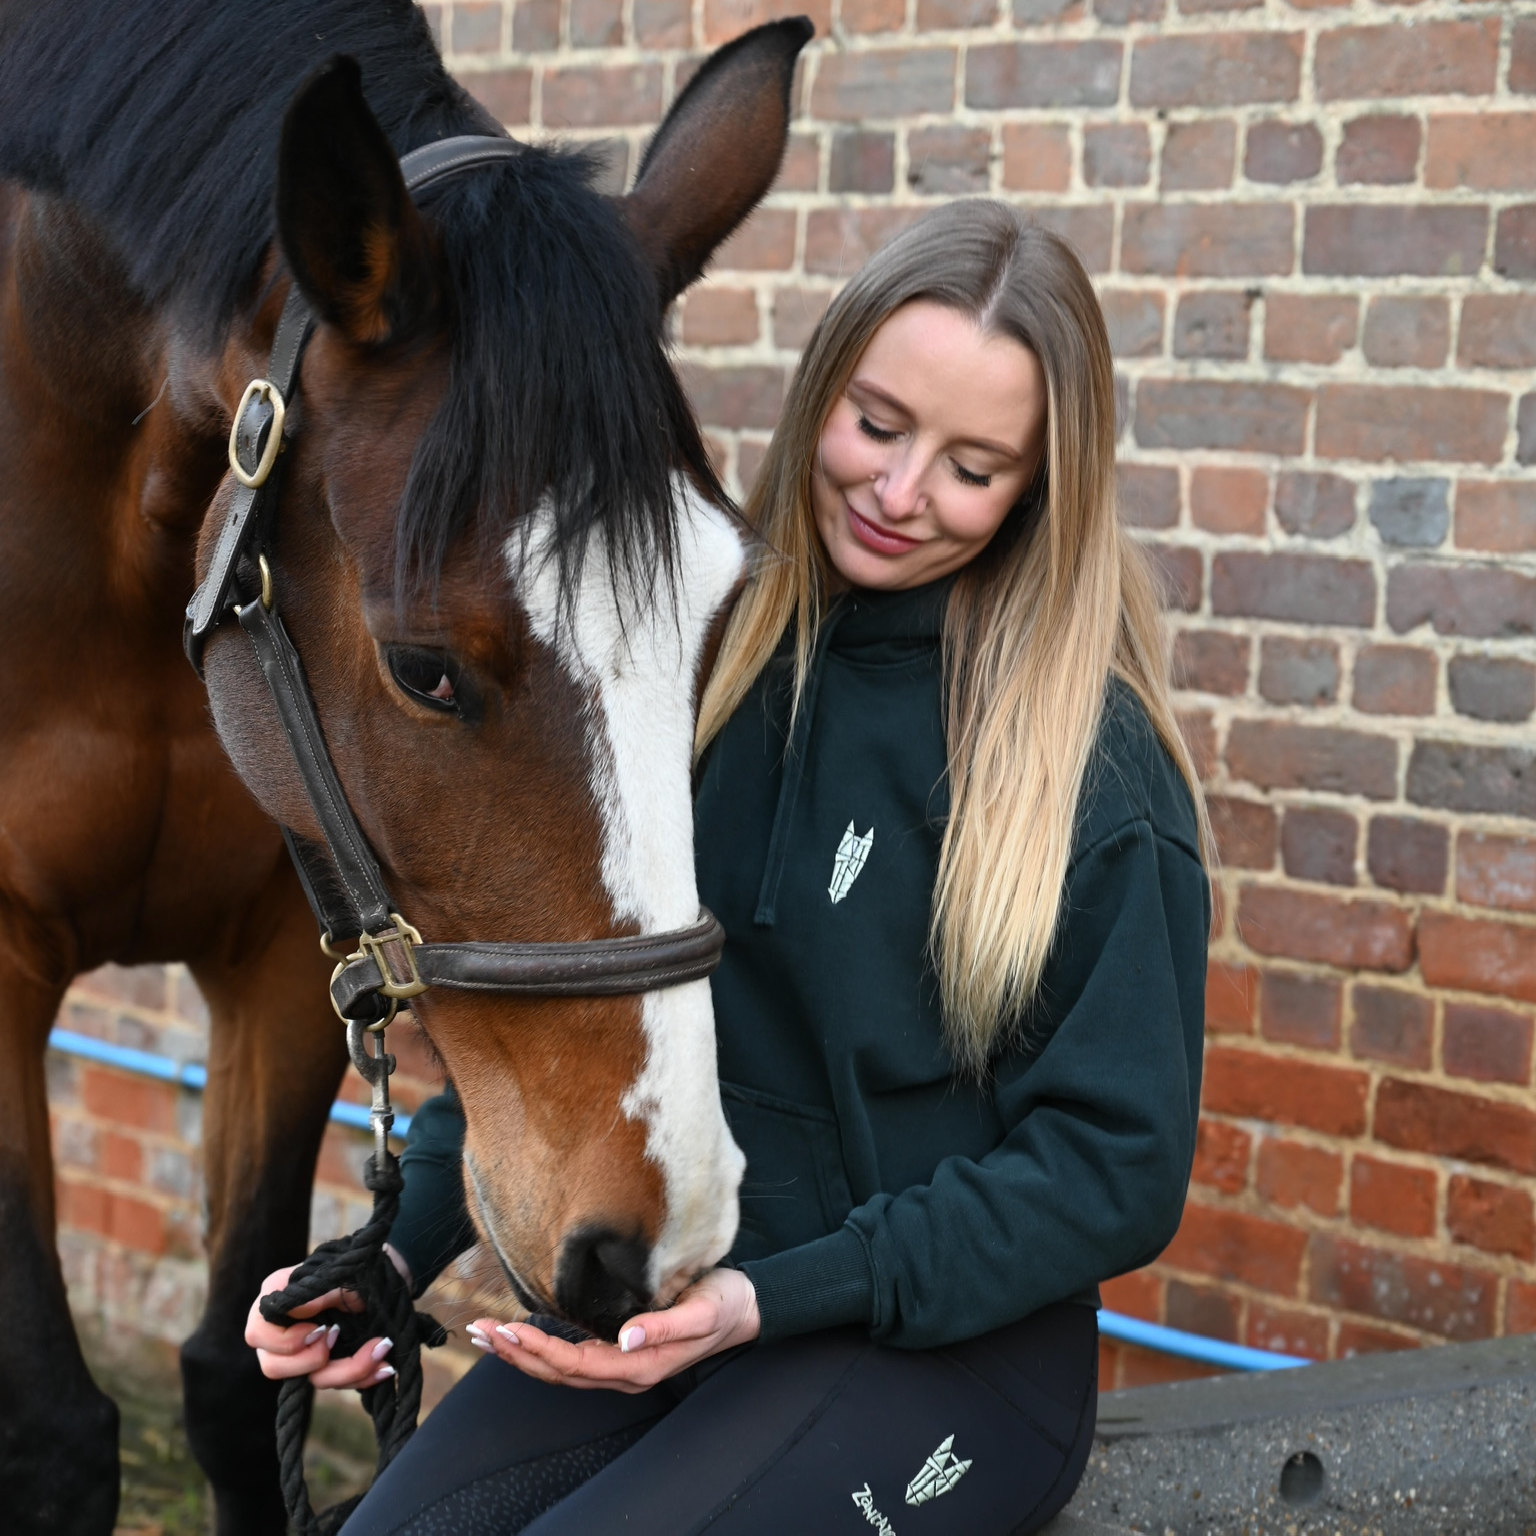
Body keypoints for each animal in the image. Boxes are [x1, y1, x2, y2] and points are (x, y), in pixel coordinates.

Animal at [0, 3, 809, 1530]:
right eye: (425, 666)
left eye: (721, 616)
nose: (658, 1232)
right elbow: (57, 1437)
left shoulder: (290, 945)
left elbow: (237, 1368)